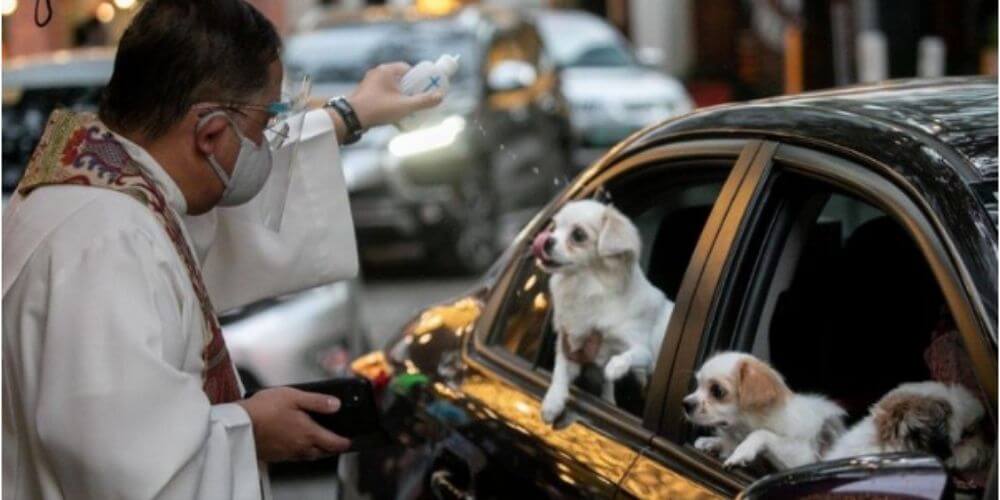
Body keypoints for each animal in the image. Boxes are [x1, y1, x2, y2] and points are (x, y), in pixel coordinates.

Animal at [532, 199, 672, 422]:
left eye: (578, 235)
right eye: (554, 228)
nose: (546, 240)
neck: (586, 286)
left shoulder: (645, 351)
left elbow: (629, 355)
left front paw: (615, 367)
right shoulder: (570, 346)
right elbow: (559, 372)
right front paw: (553, 402)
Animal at [680, 352, 844, 468]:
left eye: (717, 391)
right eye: (697, 385)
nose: (685, 404)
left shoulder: (800, 457)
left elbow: (761, 433)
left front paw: (741, 452)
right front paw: (713, 443)